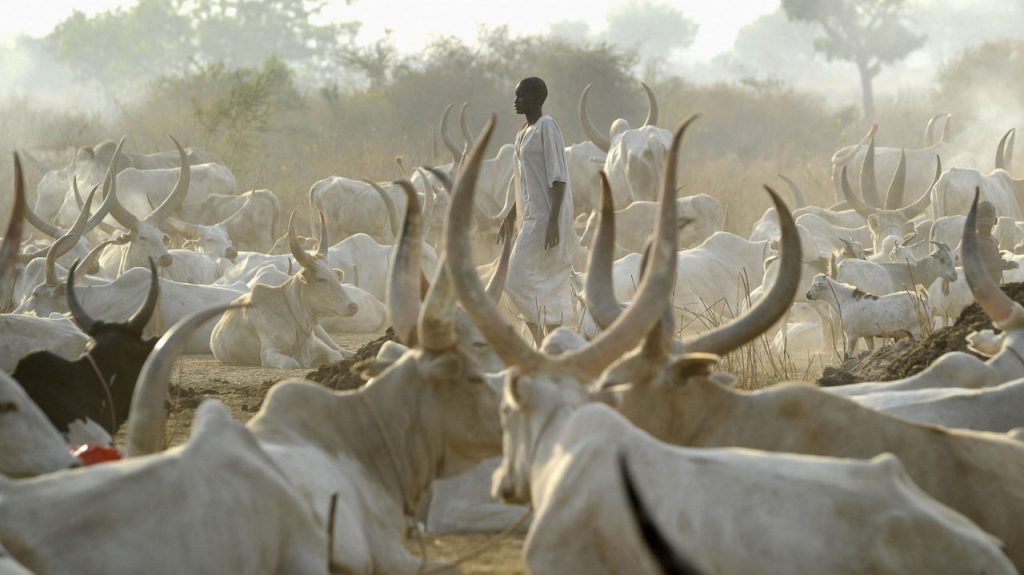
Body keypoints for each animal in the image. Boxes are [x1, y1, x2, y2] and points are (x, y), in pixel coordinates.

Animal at [211, 213, 358, 368]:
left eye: (335, 276)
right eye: (321, 279)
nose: (353, 306)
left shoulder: (318, 344)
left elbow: (336, 355)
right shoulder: (270, 354)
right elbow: (293, 363)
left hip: (320, 331)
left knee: (337, 348)